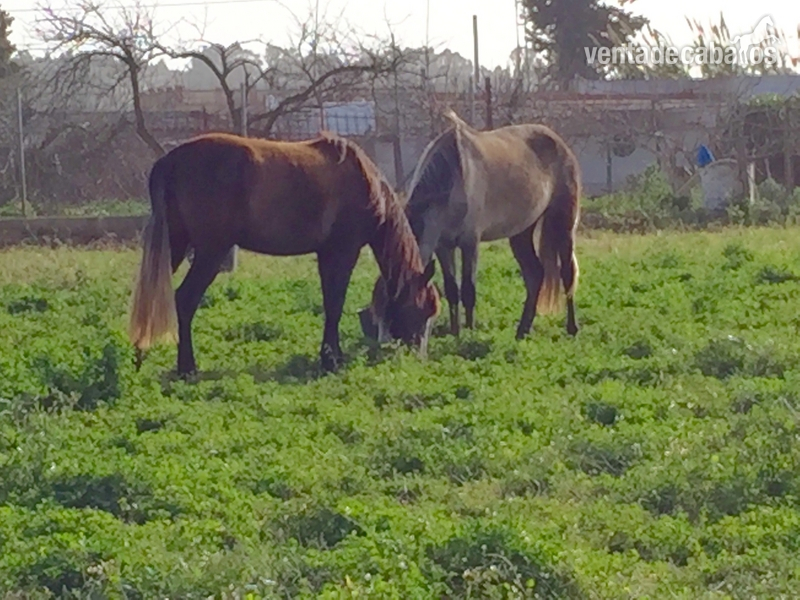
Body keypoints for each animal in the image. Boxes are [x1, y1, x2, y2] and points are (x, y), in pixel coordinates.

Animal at [128, 131, 440, 377]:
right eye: (423, 309)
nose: (418, 355)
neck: (366, 183)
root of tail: (169, 161)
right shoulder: (343, 251)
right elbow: (335, 303)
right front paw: (331, 360)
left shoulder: (326, 254)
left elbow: (330, 303)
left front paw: (330, 356)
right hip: (209, 252)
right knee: (184, 300)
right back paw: (187, 367)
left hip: (177, 245)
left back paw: (138, 355)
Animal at [359, 110, 581, 342]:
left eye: (399, 307)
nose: (386, 346)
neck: (453, 178)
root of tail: (558, 142)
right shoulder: (443, 246)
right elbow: (452, 290)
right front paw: (456, 332)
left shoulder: (470, 243)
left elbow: (468, 290)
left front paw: (470, 331)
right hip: (521, 232)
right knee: (535, 275)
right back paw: (522, 330)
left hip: (563, 222)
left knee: (566, 273)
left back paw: (572, 328)